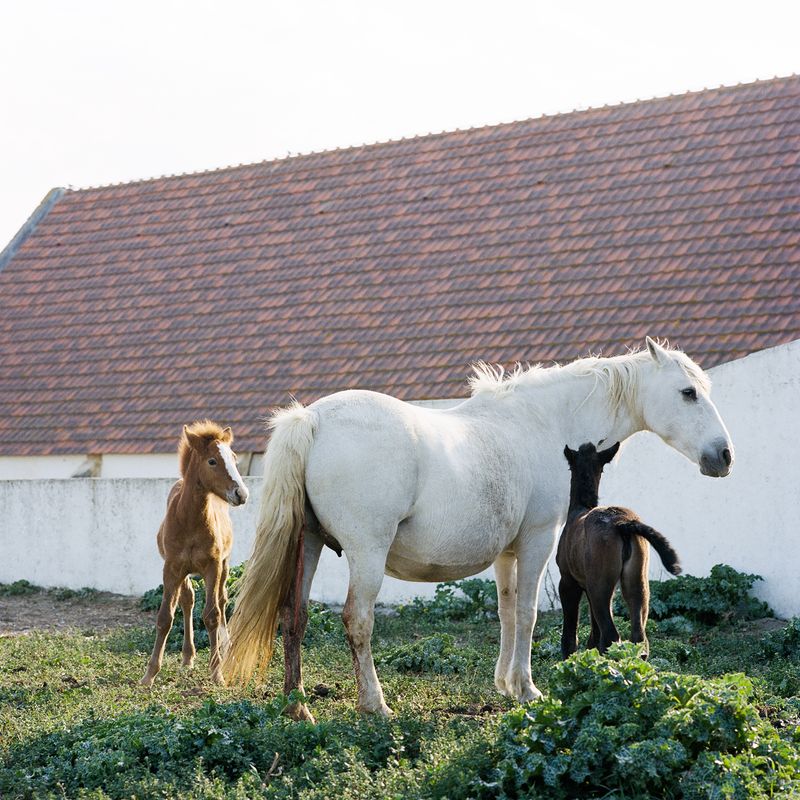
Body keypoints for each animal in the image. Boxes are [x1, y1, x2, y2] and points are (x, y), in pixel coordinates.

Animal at [140, 421, 249, 687]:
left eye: (234, 457)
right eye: (212, 461)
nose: (241, 494)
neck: (189, 519)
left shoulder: (213, 566)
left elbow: (212, 615)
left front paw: (217, 672)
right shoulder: (171, 568)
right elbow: (165, 617)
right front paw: (149, 675)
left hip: (224, 566)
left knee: (222, 601)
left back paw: (226, 647)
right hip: (184, 571)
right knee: (187, 600)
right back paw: (188, 656)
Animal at [557, 441, 681, 660]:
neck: (578, 510)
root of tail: (623, 524)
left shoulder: (568, 581)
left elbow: (571, 631)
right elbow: (594, 630)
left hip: (600, 584)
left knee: (611, 636)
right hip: (636, 579)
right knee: (639, 637)